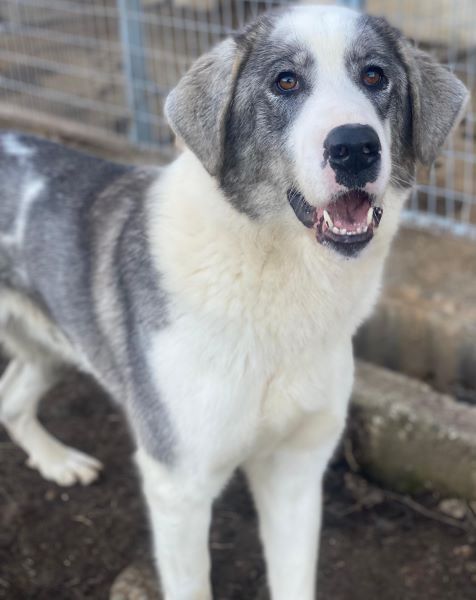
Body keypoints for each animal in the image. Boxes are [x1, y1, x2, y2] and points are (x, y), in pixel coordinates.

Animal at [0, 4, 468, 599]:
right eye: (285, 81)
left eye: (374, 76)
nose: (356, 147)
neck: (279, 276)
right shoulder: (178, 485)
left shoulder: (296, 470)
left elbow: (295, 578)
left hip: (50, 347)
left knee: (11, 397)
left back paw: (57, 462)